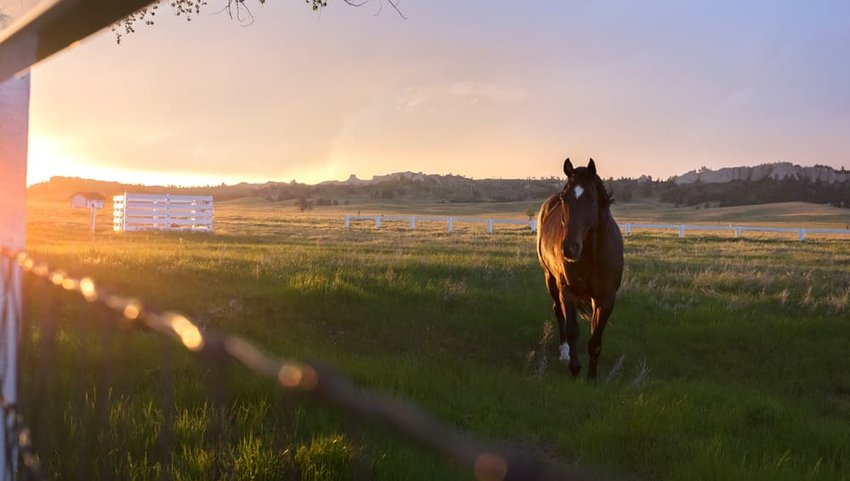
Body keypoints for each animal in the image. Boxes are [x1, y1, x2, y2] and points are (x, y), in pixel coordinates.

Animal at [536, 158, 624, 378]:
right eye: (564, 198)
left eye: (591, 199)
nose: (569, 248)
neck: (593, 255)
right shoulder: (568, 292)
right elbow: (572, 330)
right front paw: (575, 370)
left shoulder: (606, 299)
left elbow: (595, 341)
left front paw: (591, 378)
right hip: (550, 280)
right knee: (558, 312)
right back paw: (564, 352)